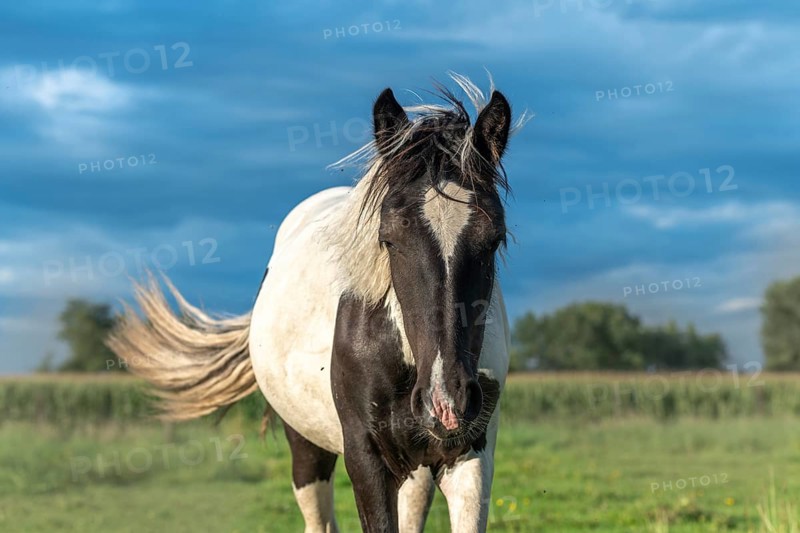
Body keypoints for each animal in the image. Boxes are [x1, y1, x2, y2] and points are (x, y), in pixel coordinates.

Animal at [109, 74, 522, 533]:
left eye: (494, 239)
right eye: (389, 238)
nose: (446, 402)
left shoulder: (471, 455)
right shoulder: (366, 457)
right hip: (306, 446)